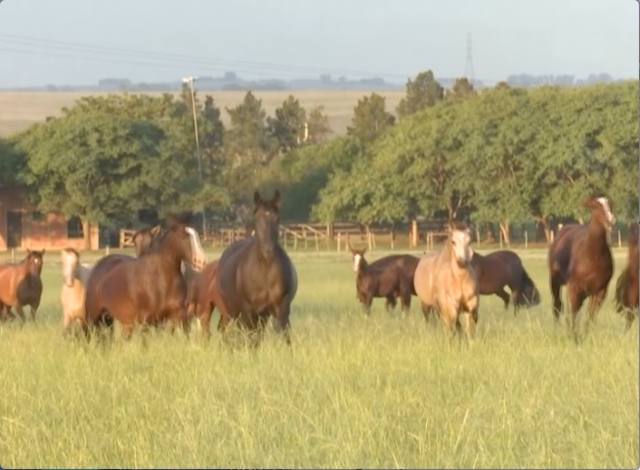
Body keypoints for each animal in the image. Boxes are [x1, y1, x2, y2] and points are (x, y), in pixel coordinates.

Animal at [214, 191, 296, 346]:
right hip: (230, 311)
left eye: (277, 218)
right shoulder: (249, 312)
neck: (265, 271)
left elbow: (286, 338)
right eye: (257, 218)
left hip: (262, 315)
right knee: (226, 331)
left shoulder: (281, 309)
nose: (268, 249)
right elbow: (252, 339)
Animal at [544, 196, 616, 336]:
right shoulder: (574, 287)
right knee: (557, 305)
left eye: (610, 205)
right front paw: (572, 334)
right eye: (595, 206)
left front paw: (587, 334)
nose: (610, 220)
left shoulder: (601, 290)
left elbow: (591, 315)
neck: (592, 257)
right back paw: (557, 329)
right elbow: (573, 311)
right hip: (555, 281)